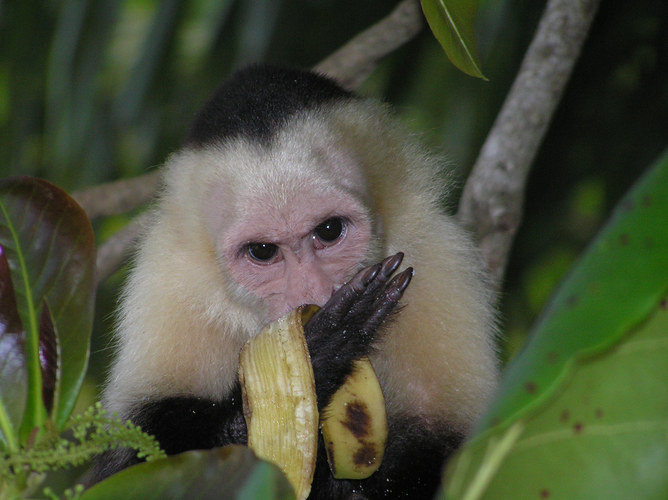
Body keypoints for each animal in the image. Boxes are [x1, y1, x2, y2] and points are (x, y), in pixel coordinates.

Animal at [88, 65, 498, 496]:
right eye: (263, 251)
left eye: (330, 230)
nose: (312, 294)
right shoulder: (165, 284)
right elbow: (135, 464)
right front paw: (314, 362)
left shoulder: (440, 258)